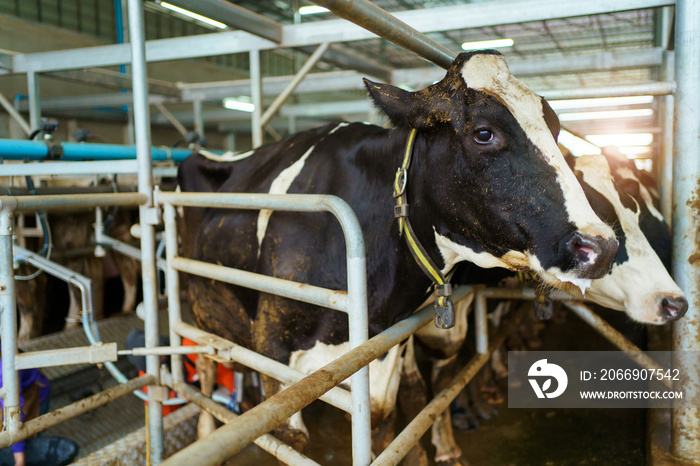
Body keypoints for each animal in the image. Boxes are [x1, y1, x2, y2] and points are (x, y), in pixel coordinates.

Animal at [176, 51, 616, 458]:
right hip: (197, 308)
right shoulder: (273, 348)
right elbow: (292, 439)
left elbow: (390, 420)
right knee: (207, 371)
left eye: (555, 129)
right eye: (483, 133)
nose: (601, 246)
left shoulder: (387, 354)